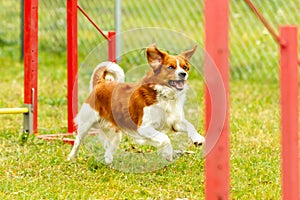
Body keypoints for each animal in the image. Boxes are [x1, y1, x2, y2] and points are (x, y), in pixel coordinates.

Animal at [67, 44, 205, 163]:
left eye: (185, 67)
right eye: (171, 67)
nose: (183, 74)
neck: (164, 94)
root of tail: (102, 82)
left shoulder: (174, 122)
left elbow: (189, 125)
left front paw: (197, 138)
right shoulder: (144, 127)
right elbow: (165, 138)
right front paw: (168, 153)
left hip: (116, 134)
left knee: (108, 151)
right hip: (86, 123)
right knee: (78, 140)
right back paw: (71, 157)